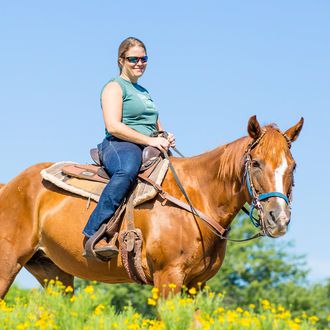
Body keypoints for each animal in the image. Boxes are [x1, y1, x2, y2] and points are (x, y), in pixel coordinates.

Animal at [0, 115, 302, 296]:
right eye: (256, 163)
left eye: (293, 165)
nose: (279, 218)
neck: (197, 197)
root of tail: (9, 186)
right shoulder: (168, 277)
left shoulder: (196, 285)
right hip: (8, 264)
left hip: (53, 273)